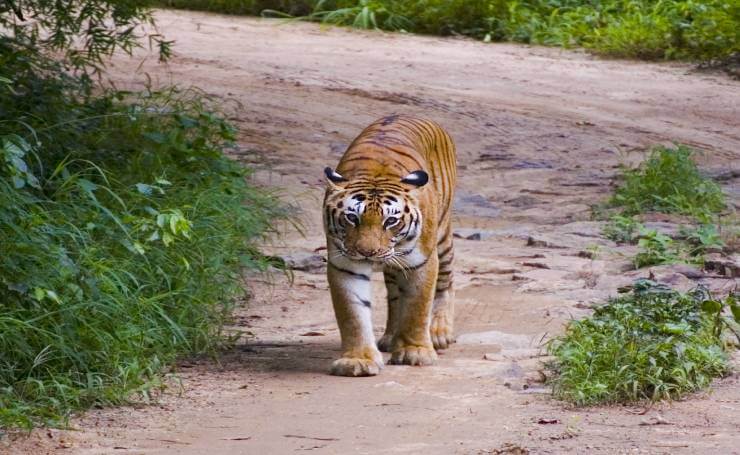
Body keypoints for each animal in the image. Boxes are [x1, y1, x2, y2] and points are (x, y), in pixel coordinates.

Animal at [324, 115, 456, 378]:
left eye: (391, 221)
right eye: (352, 218)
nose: (368, 252)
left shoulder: (422, 261)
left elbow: (417, 306)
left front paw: (416, 351)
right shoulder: (345, 264)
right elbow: (353, 314)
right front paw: (358, 359)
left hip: (442, 237)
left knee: (446, 282)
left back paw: (439, 331)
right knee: (395, 297)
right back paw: (390, 338)